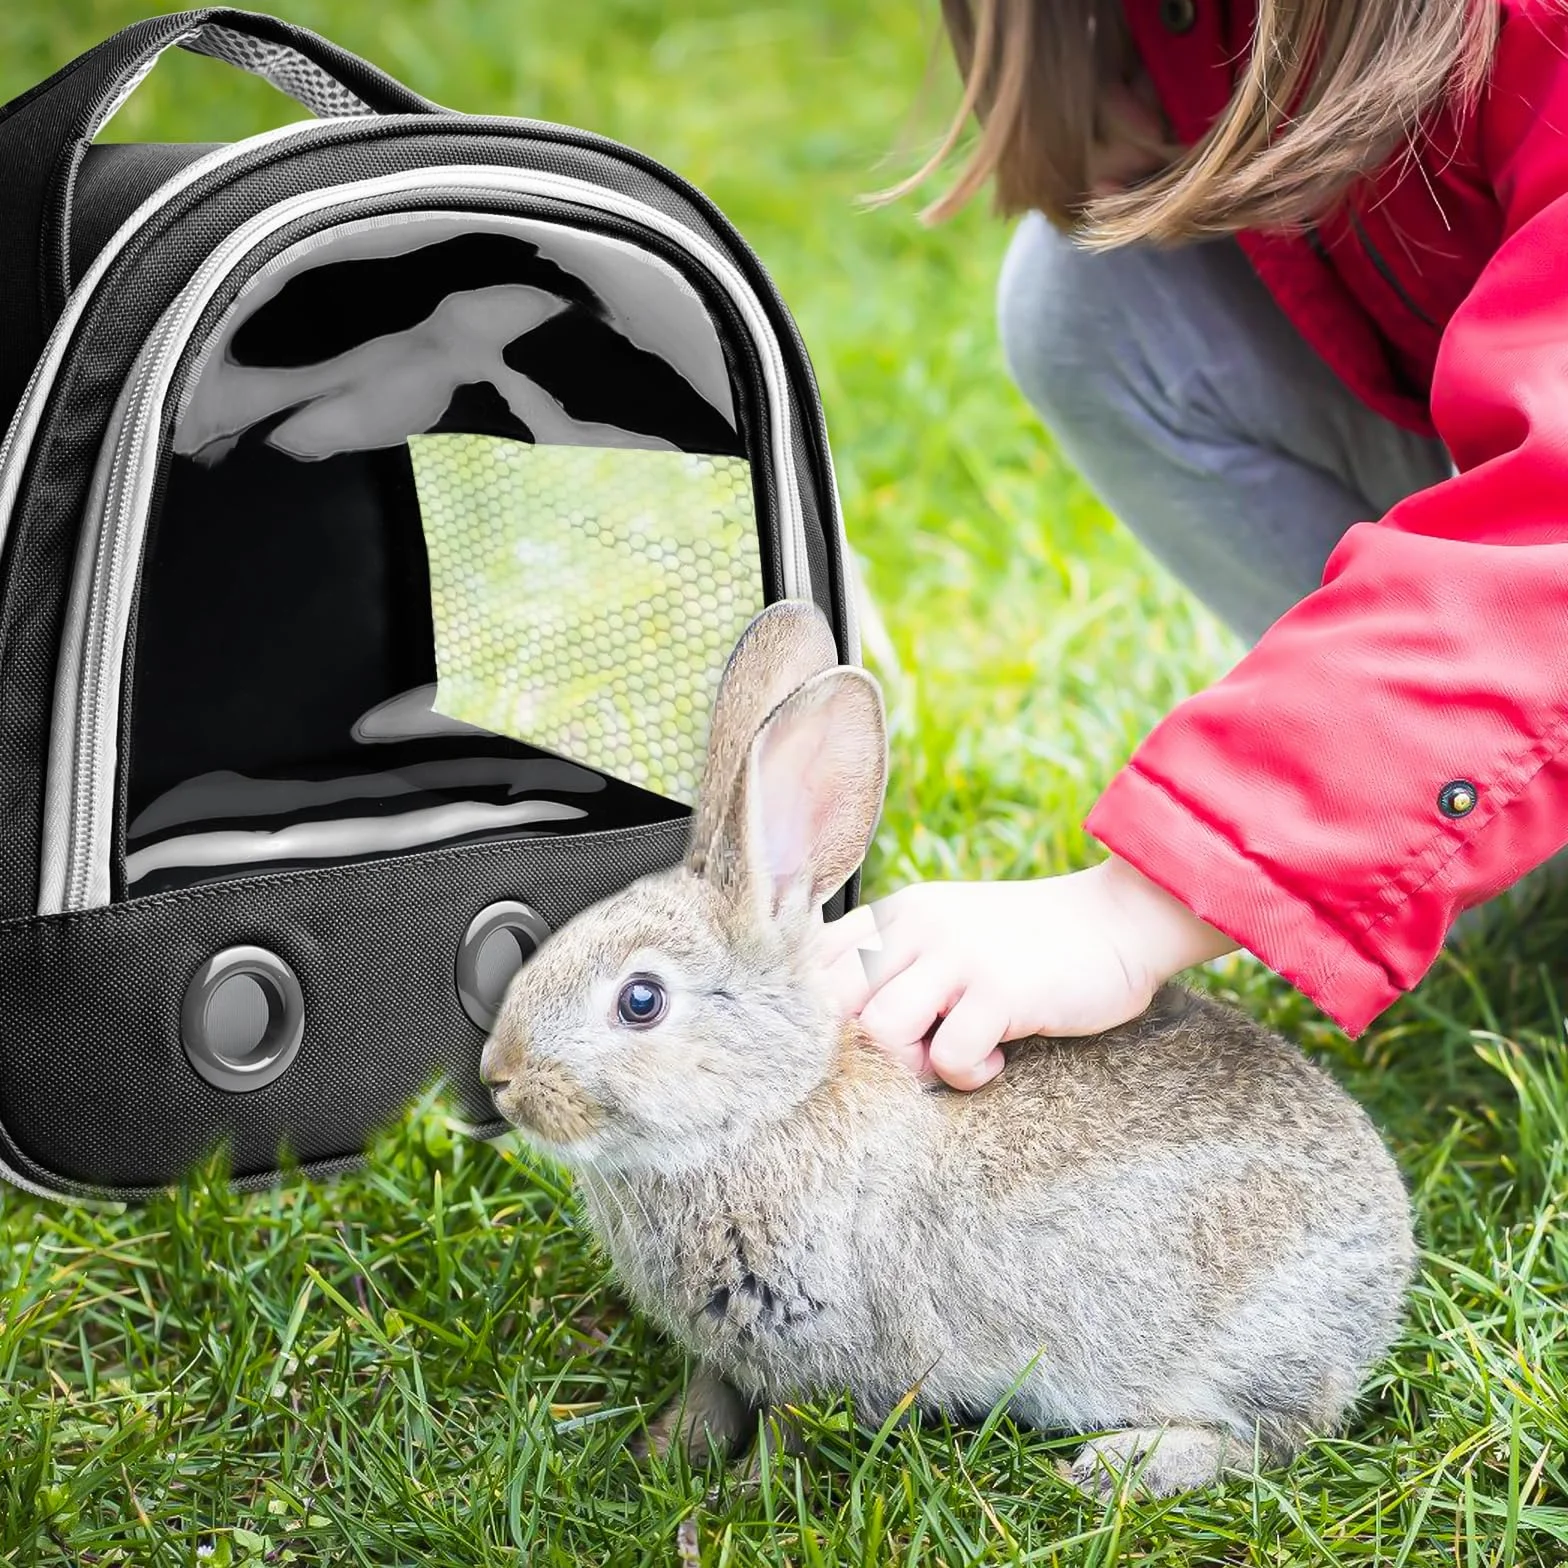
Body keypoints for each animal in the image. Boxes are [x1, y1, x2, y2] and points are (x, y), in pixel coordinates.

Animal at [479, 599, 1417, 1498]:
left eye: (641, 1001)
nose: (501, 1080)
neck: (766, 1109)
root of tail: (1389, 1250)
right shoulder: (730, 1350)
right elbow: (712, 1395)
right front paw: (664, 1456)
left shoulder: (827, 1354)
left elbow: (789, 1431)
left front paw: (736, 1500)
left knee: (1277, 1437)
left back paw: (1126, 1466)